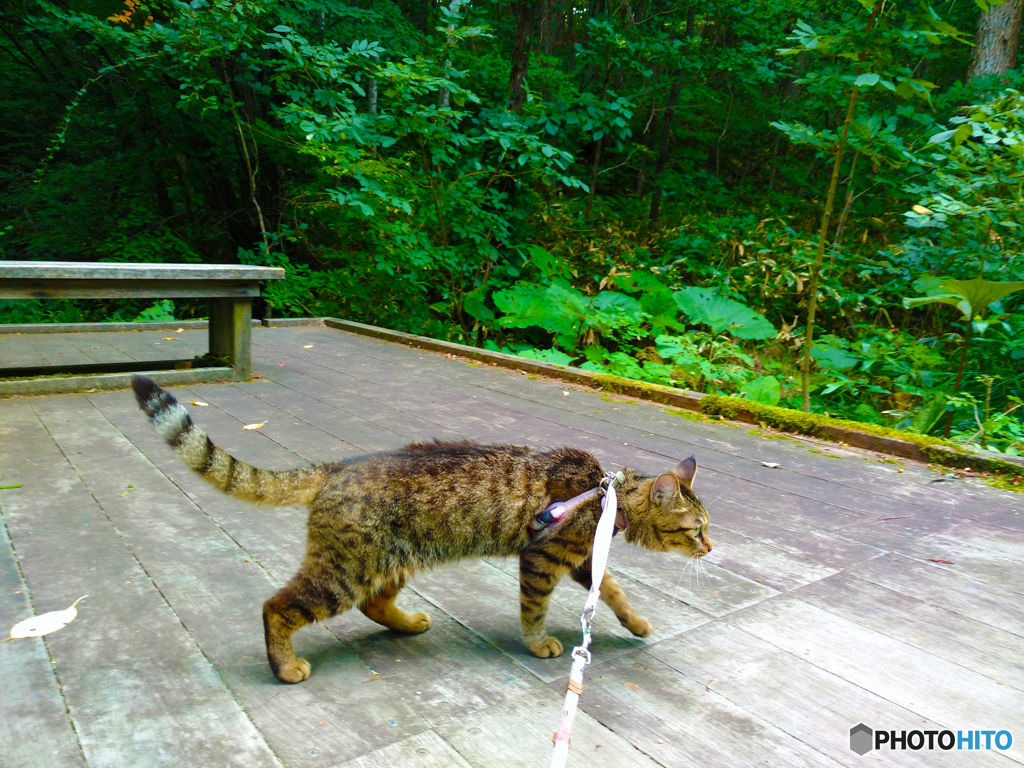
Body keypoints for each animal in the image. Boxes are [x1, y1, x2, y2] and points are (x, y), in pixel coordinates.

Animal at [134, 376, 712, 684]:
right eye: (696, 530)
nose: (710, 547)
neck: (608, 493)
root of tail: (337, 466)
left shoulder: (581, 561)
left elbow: (613, 591)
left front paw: (636, 623)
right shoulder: (543, 559)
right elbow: (534, 610)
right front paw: (538, 643)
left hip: (390, 560)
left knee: (374, 604)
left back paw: (409, 623)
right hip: (345, 572)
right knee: (277, 606)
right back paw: (285, 666)